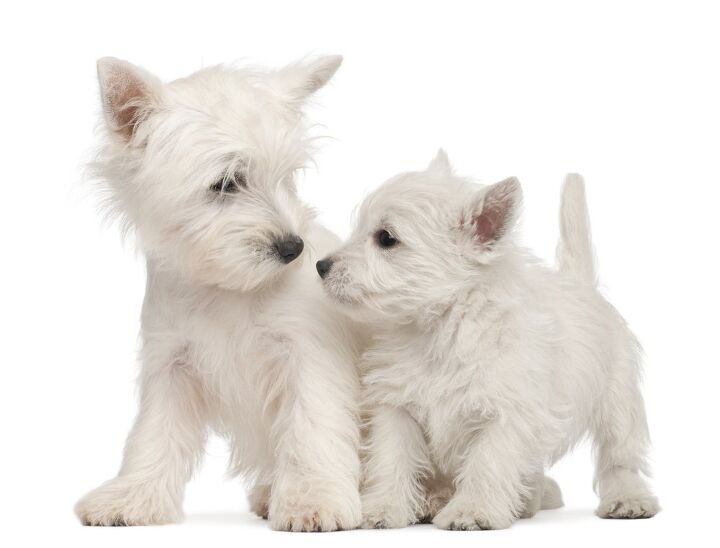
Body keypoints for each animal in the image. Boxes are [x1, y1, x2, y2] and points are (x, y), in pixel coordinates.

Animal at [76, 56, 362, 532]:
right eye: (226, 183)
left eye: (286, 178)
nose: (293, 247)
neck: (228, 288)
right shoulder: (172, 363)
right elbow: (154, 434)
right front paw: (132, 497)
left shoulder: (308, 356)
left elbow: (312, 427)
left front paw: (313, 499)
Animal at [318, 152, 660, 528]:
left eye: (386, 238)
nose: (321, 265)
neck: (439, 330)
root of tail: (580, 282)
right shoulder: (397, 407)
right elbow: (392, 459)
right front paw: (382, 509)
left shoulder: (506, 413)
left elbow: (488, 463)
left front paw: (472, 510)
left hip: (618, 400)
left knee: (619, 457)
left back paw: (627, 499)